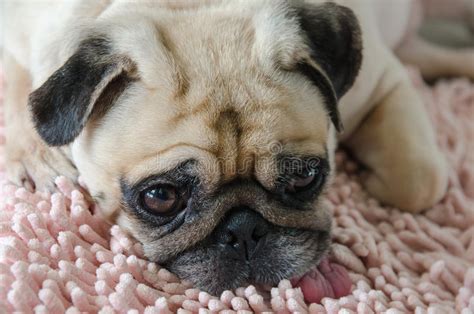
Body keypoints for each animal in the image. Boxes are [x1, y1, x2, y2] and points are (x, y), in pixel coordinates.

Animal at [2, 0, 462, 296]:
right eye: (160, 197)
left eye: (305, 177)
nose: (244, 230)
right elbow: (14, 87)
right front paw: (37, 157)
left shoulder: (385, 79)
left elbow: (419, 180)